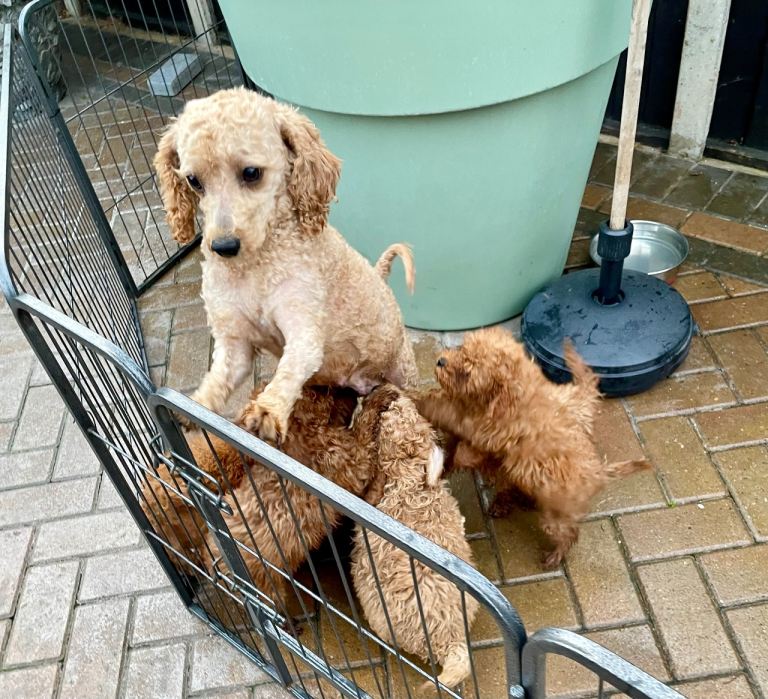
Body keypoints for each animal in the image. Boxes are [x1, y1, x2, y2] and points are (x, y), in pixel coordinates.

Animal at [154, 87, 417, 441]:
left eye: (251, 173)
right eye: (194, 181)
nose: (223, 246)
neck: (254, 269)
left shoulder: (304, 328)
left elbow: (291, 367)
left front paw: (268, 410)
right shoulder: (235, 345)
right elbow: (218, 379)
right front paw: (195, 405)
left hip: (404, 374)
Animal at [416, 326, 651, 569]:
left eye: (467, 373)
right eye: (461, 348)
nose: (441, 361)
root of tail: (597, 471)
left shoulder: (483, 430)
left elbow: (450, 418)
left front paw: (420, 402)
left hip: (556, 514)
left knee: (568, 533)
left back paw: (555, 554)